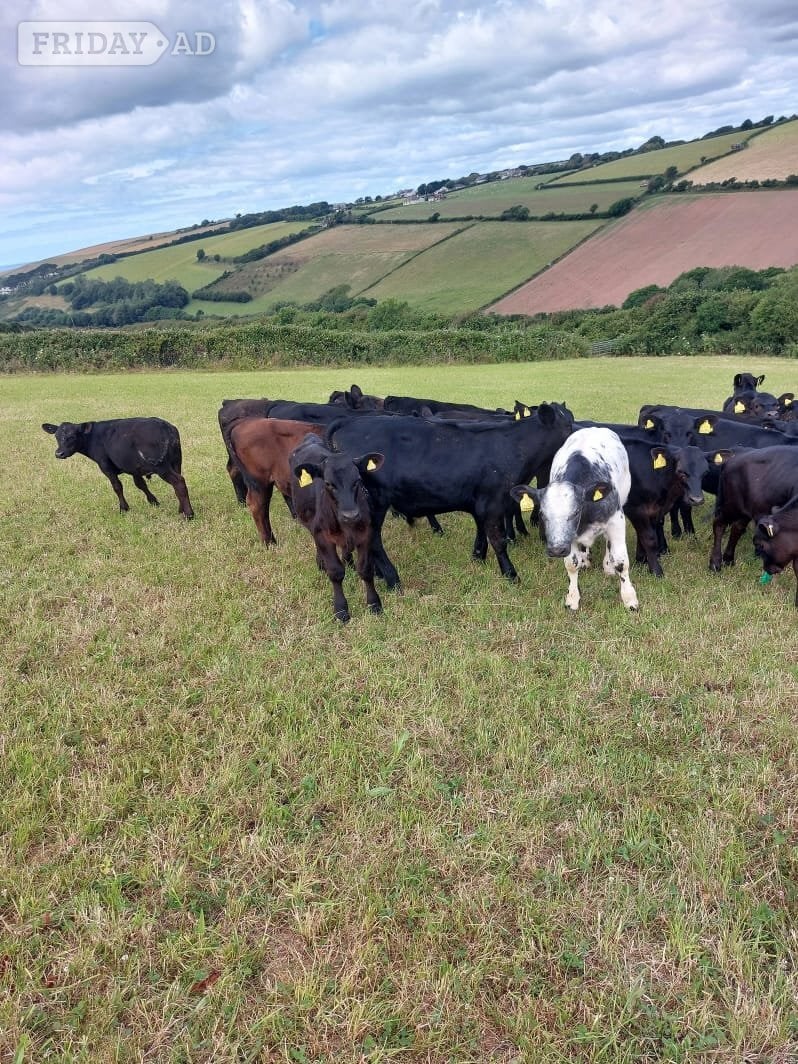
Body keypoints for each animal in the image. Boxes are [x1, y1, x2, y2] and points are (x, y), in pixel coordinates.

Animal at [42, 417, 194, 518]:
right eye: (56, 436)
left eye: (72, 436)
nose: (59, 453)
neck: (92, 438)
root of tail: (165, 426)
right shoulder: (134, 467)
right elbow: (140, 484)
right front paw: (153, 501)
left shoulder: (105, 466)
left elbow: (117, 487)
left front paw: (124, 508)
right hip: (176, 462)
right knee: (180, 483)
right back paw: (181, 509)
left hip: (161, 467)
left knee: (178, 482)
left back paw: (189, 514)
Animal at [290, 435, 384, 622]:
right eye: (328, 483)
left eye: (357, 480)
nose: (350, 515)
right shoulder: (322, 535)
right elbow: (335, 572)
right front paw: (341, 609)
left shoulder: (366, 533)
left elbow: (366, 569)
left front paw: (374, 603)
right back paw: (321, 562)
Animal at [327, 402, 575, 589]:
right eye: (568, 425)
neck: (513, 447)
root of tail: (350, 422)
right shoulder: (493, 503)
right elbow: (498, 540)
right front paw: (511, 574)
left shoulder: (480, 503)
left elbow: (481, 532)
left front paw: (478, 557)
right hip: (373, 502)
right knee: (373, 539)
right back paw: (392, 579)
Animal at [510, 428, 638, 611]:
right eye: (542, 513)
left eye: (576, 511)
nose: (556, 550)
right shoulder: (567, 538)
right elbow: (571, 564)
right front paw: (572, 597)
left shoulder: (616, 520)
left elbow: (621, 562)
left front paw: (629, 598)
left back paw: (607, 565)